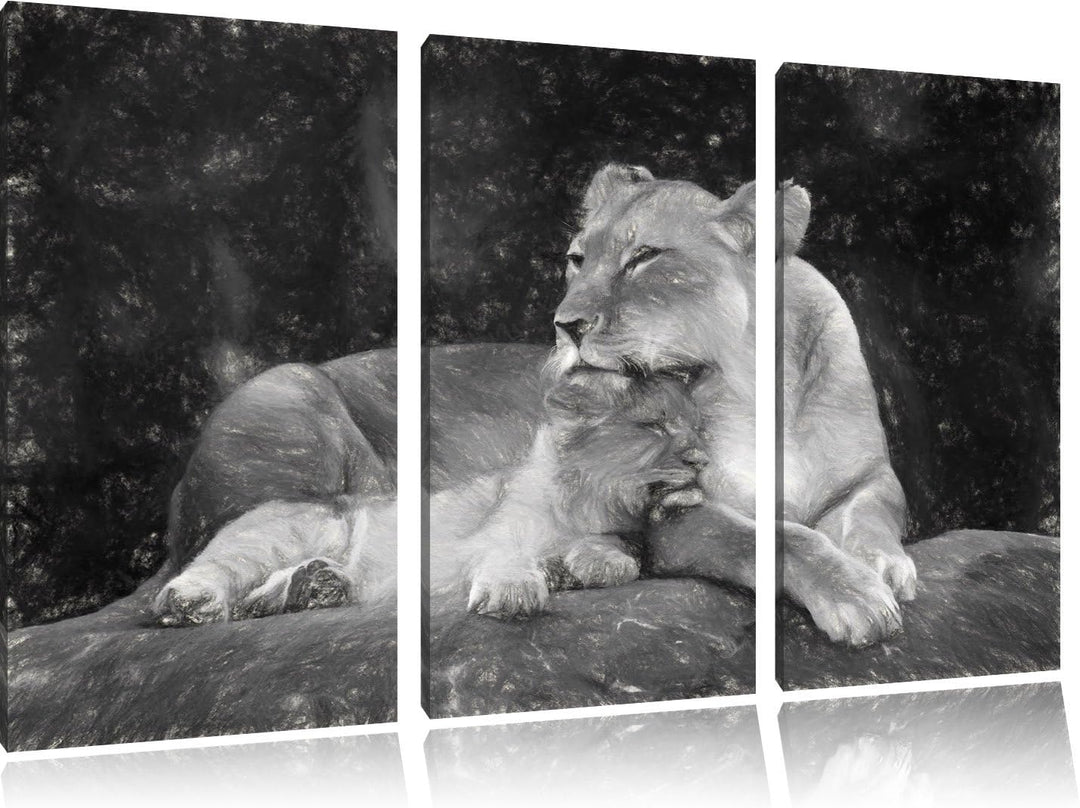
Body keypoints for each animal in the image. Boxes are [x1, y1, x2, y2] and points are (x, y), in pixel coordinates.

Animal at [152, 369, 706, 625]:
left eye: (700, 427)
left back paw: (316, 586)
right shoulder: (488, 537)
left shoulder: (617, 533)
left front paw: (583, 566)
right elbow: (507, 554)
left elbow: (619, 555)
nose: (702, 457)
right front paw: (517, 590)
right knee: (218, 574)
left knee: (261, 599)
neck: (586, 502)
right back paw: (192, 602)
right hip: (281, 535)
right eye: (655, 425)